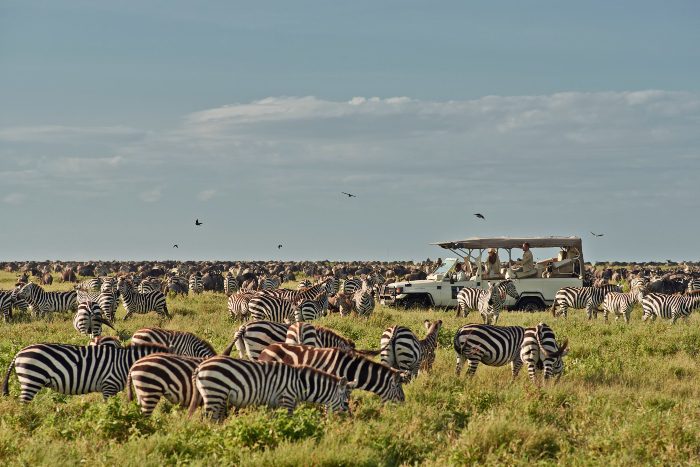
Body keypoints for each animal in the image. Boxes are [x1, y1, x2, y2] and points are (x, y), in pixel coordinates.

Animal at [3, 340, 171, 402]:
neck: (124, 363)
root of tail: (20, 352)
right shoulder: (108, 386)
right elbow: (107, 407)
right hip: (32, 379)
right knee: (23, 403)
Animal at [187, 358, 356, 420]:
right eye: (346, 403)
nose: (350, 421)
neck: (300, 384)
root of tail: (200, 367)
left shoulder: (274, 403)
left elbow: (272, 421)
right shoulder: (287, 399)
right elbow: (289, 420)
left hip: (217, 396)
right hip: (214, 394)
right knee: (205, 419)